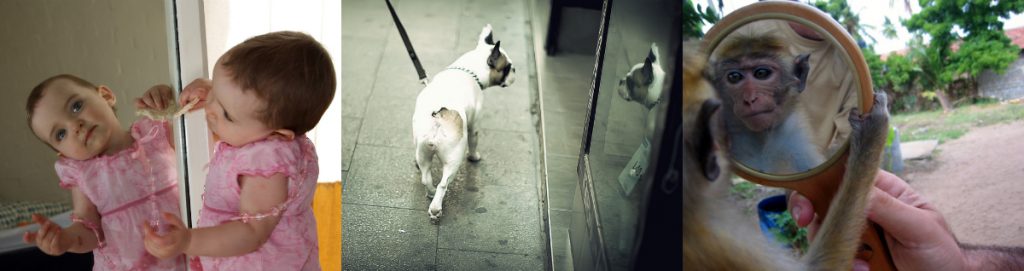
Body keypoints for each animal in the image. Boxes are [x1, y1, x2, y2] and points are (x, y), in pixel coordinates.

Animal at [411, 24, 516, 220]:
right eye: (507, 68)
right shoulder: (474, 125)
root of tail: (439, 117)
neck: (468, 69)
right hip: (454, 158)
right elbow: (474, 141)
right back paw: (436, 208)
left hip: (423, 151)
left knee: (426, 178)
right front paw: (474, 157)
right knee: (443, 184)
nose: (515, 71)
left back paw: (430, 194)